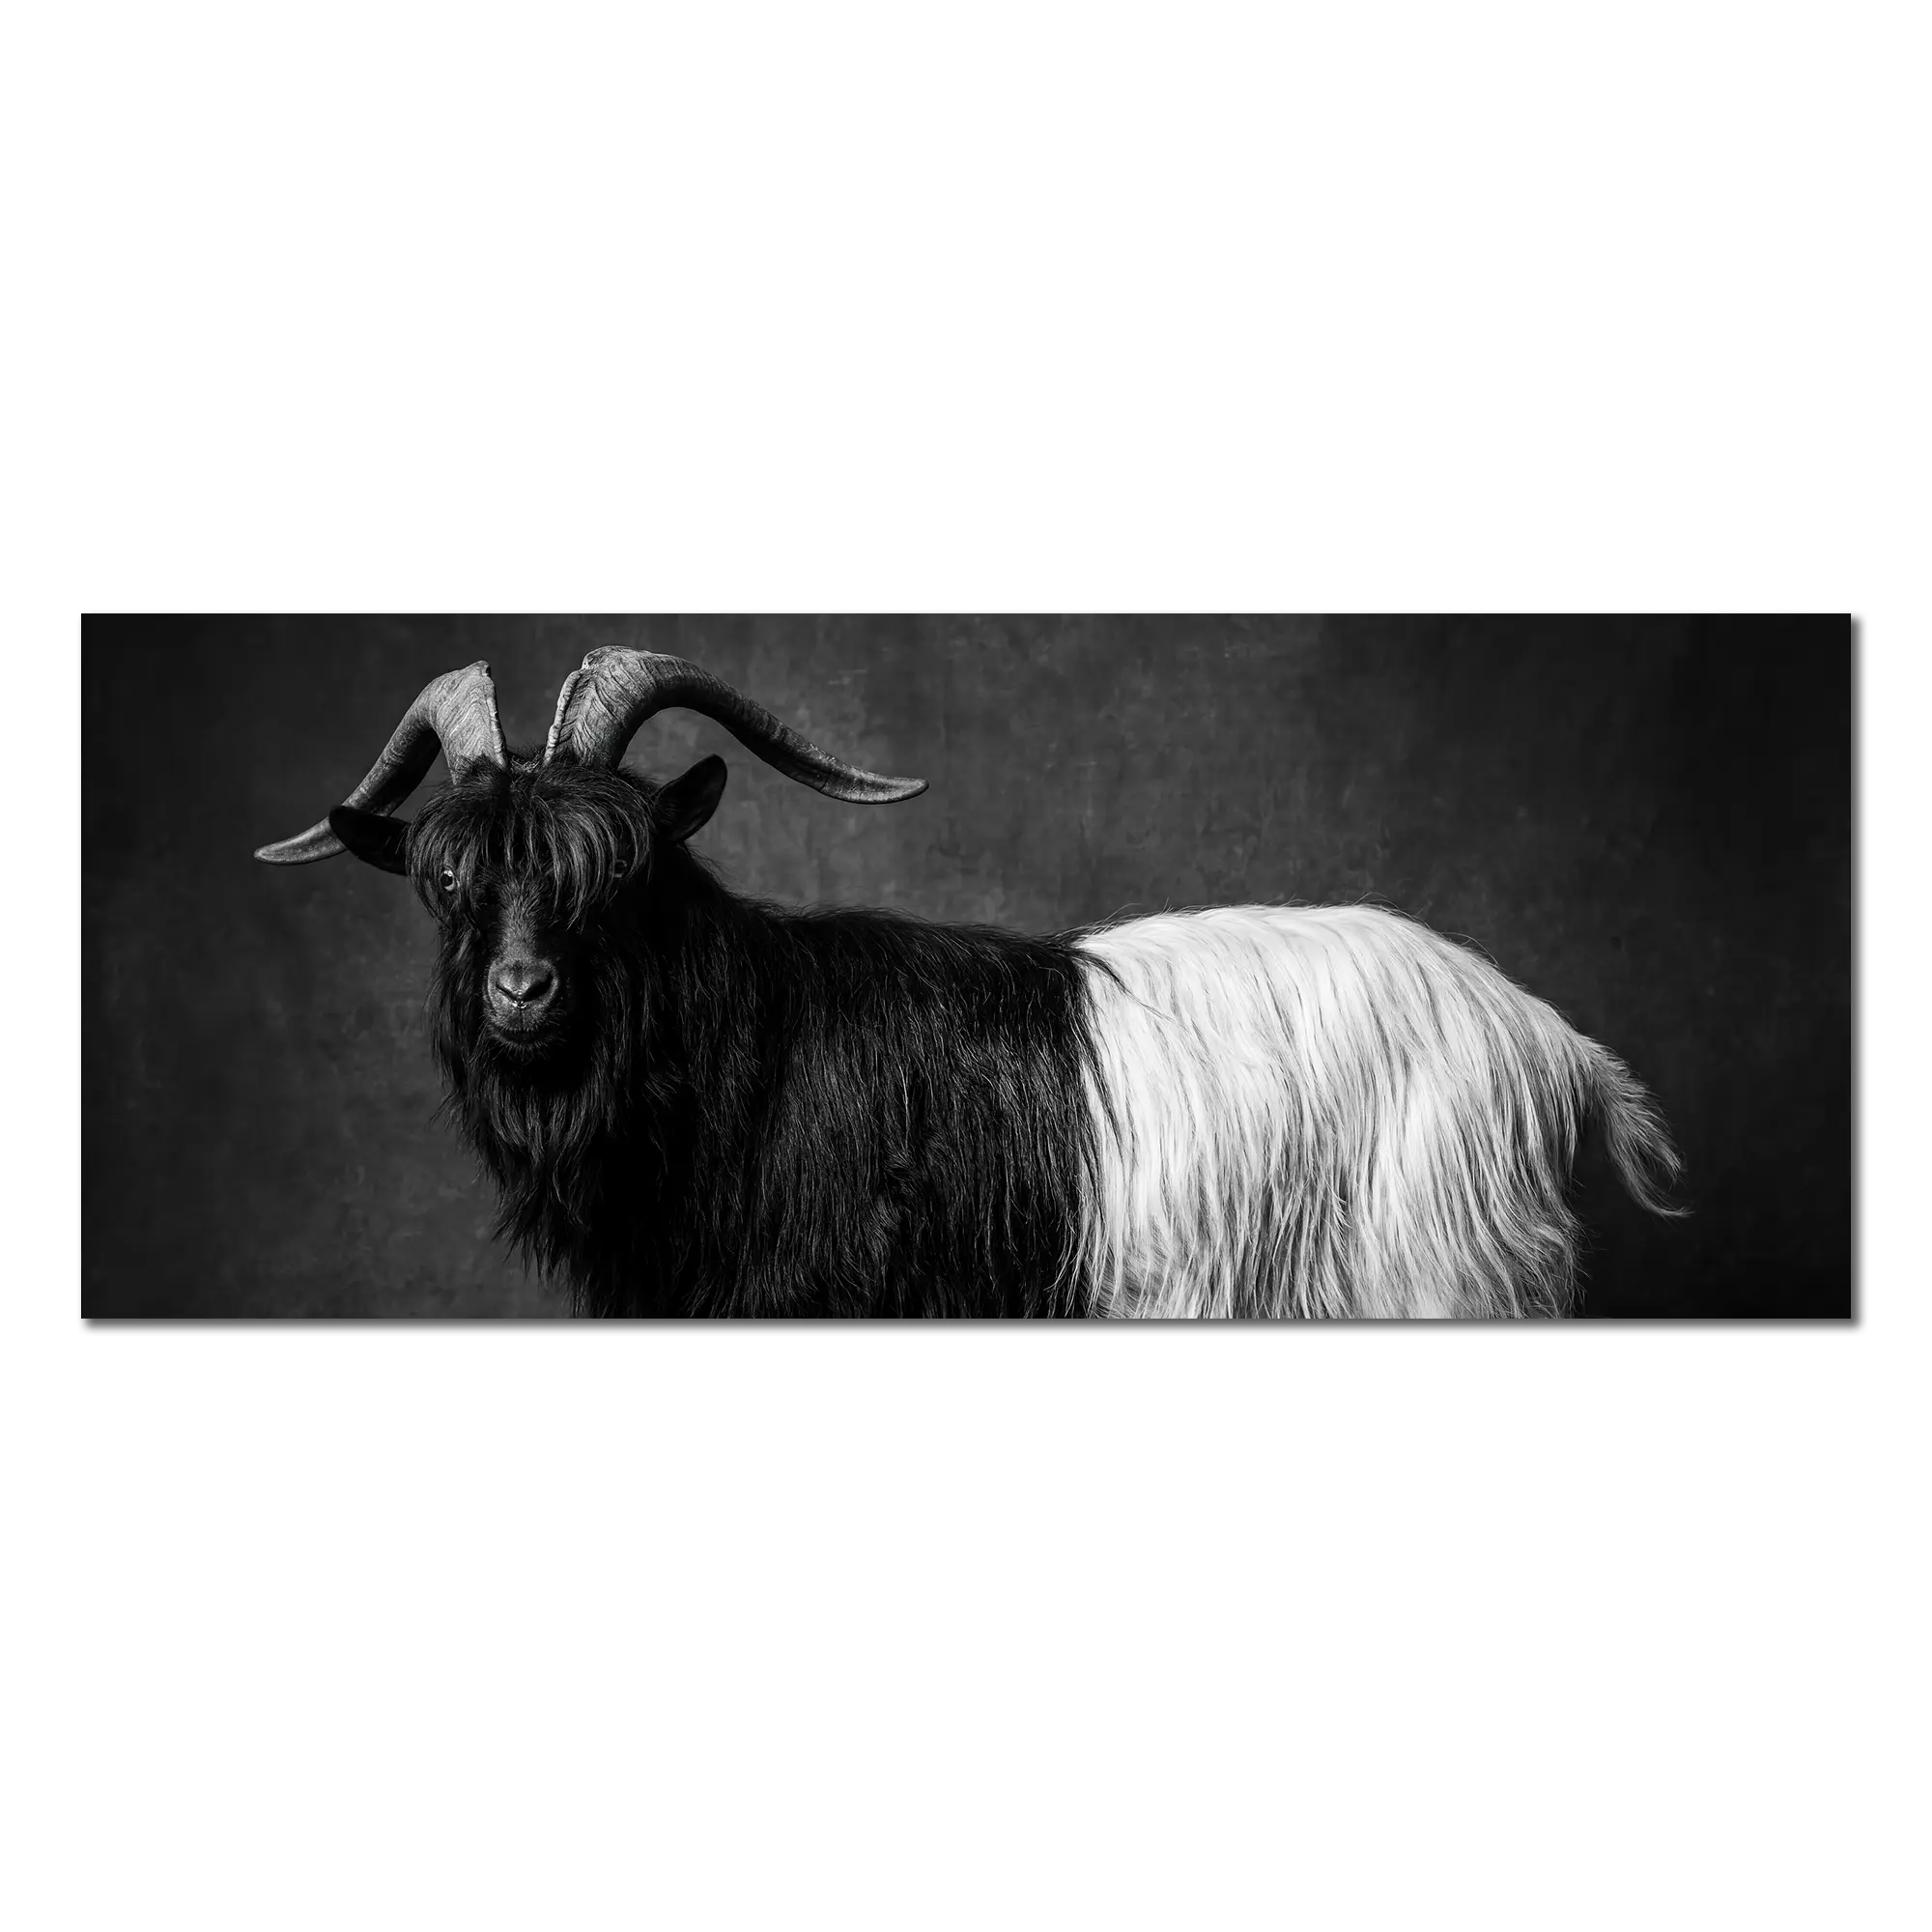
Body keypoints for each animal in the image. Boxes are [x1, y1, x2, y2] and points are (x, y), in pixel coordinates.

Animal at [256, 649, 1683, 1319]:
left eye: (620, 867)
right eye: (449, 875)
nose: (522, 993)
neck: (750, 1052)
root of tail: (1547, 1039)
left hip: (1438, 1273)